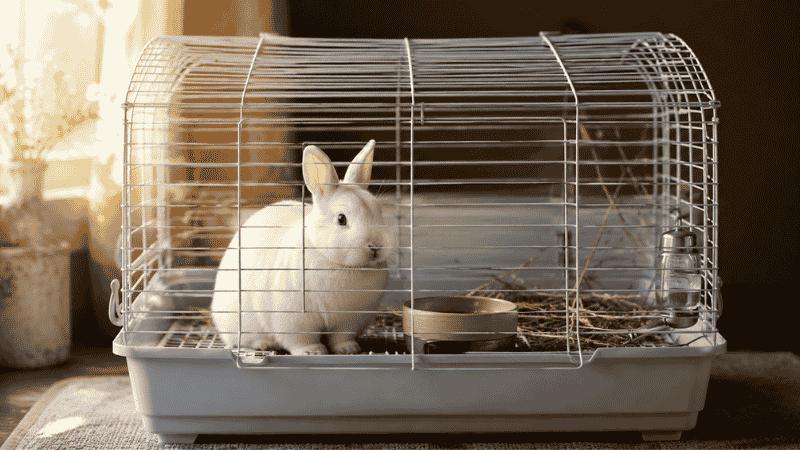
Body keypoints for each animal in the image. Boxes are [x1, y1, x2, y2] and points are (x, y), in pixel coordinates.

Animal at [211, 140, 393, 355]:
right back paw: (265, 343)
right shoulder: (296, 319)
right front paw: (313, 351)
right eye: (341, 219)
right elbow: (300, 339)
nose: (376, 246)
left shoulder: (348, 321)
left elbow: (341, 337)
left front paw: (349, 349)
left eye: (379, 211)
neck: (337, 264)